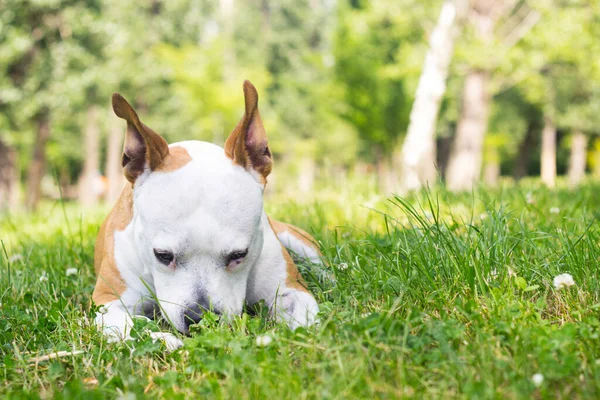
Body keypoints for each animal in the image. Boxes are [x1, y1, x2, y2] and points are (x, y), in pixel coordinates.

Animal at [92, 79, 322, 348]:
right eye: (163, 255)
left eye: (239, 254)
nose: (199, 317)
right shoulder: (109, 303)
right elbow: (133, 327)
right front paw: (163, 340)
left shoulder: (291, 290)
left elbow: (305, 323)